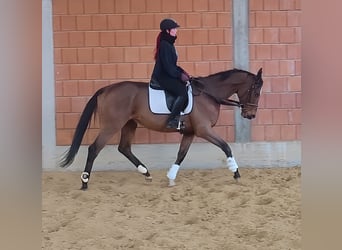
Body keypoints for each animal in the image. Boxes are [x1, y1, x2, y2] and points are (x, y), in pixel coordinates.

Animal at [58, 67, 264, 188]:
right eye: (256, 91)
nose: (250, 115)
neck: (208, 93)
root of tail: (105, 89)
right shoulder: (204, 130)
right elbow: (226, 147)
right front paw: (236, 173)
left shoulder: (190, 132)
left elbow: (181, 154)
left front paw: (171, 177)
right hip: (112, 125)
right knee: (94, 148)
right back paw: (85, 182)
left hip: (129, 124)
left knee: (124, 148)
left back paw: (146, 173)